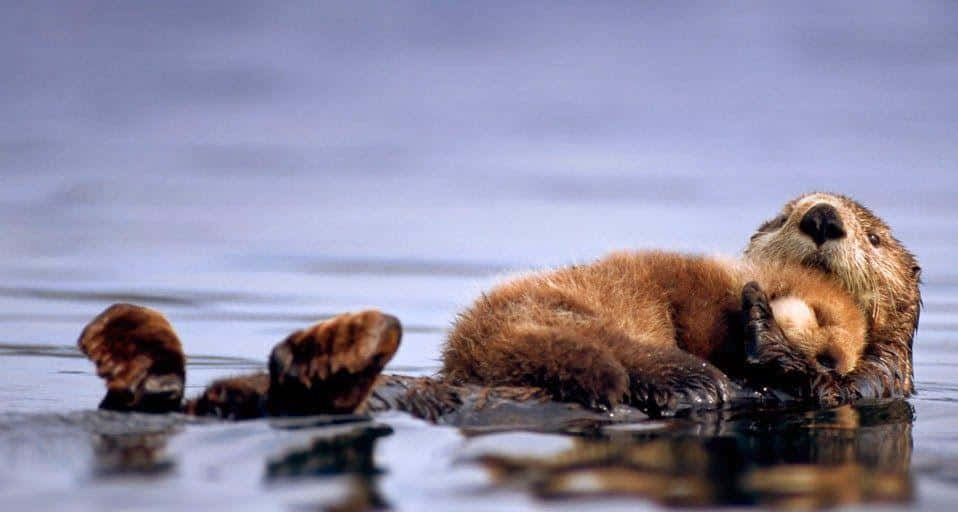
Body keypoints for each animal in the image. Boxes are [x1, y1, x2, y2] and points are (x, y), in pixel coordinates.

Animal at [76, 192, 920, 419]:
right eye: (783, 213)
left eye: (875, 237)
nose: (823, 218)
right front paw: (763, 326)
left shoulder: (873, 381)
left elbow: (825, 383)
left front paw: (779, 338)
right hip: (555, 316)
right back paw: (682, 382)